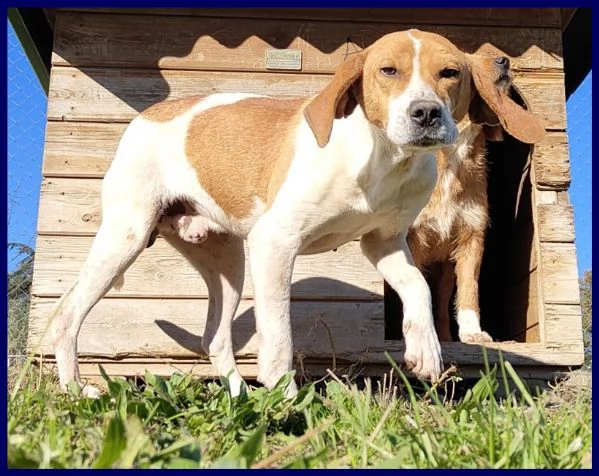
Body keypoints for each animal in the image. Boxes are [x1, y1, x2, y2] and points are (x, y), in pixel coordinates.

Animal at [410, 54, 548, 344]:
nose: (504, 60)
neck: (454, 154)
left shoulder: (471, 236)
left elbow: (469, 290)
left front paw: (472, 332)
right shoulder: (413, 237)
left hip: (445, 272)